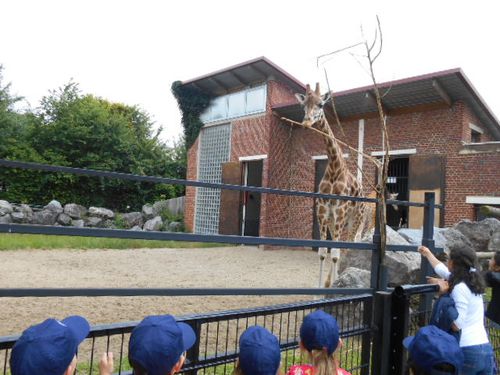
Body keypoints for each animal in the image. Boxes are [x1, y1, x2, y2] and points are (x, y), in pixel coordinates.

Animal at [292, 83, 372, 288]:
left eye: (321, 104)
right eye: (303, 105)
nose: (306, 122)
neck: (335, 169)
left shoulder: (340, 213)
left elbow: (335, 253)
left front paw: (333, 285)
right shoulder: (323, 214)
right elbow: (322, 252)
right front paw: (321, 286)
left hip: (355, 219)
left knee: (348, 245)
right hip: (339, 221)